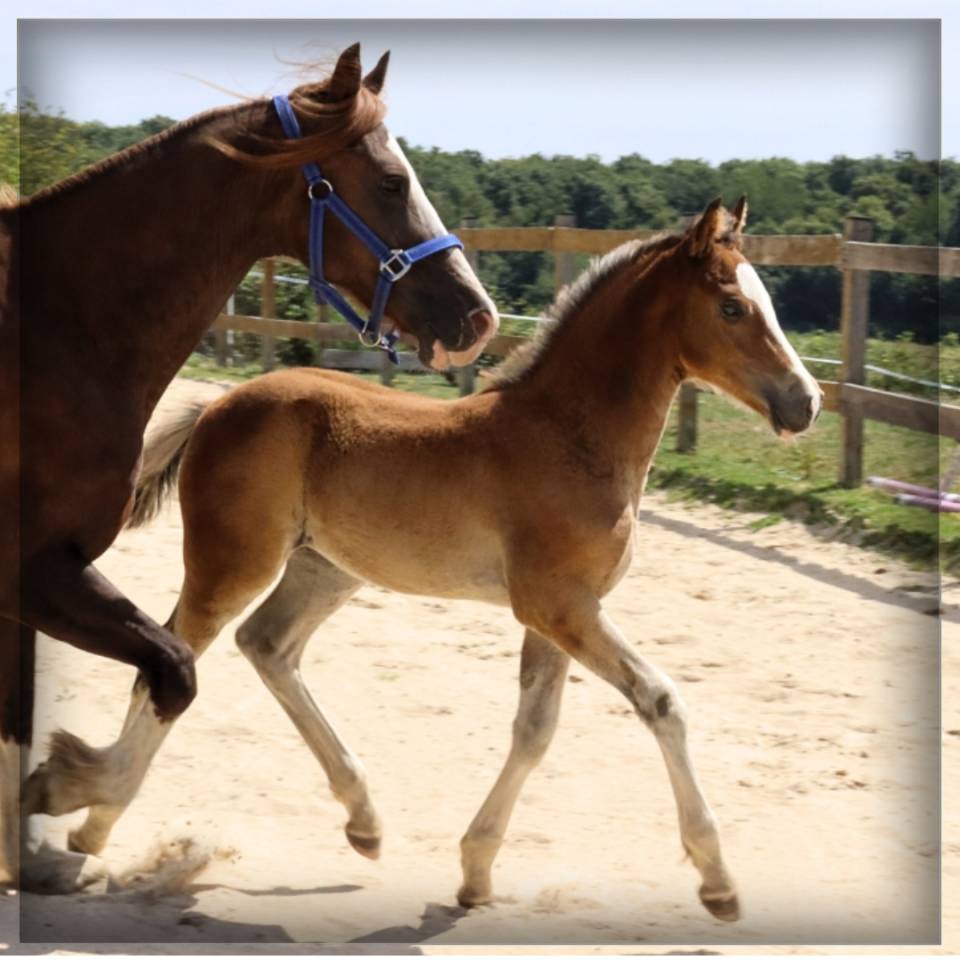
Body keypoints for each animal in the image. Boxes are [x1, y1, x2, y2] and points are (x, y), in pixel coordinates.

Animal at [0, 43, 498, 891]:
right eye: (391, 182)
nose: (478, 316)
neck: (58, 325)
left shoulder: (37, 579)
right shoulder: (34, 572)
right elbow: (172, 674)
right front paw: (74, 796)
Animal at [25, 197, 822, 920]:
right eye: (731, 307)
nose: (806, 402)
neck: (569, 435)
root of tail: (218, 407)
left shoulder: (558, 613)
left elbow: (535, 730)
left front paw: (475, 872)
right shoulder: (560, 604)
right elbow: (660, 701)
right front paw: (718, 881)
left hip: (325, 567)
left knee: (266, 645)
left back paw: (362, 821)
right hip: (232, 562)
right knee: (171, 660)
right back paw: (87, 812)